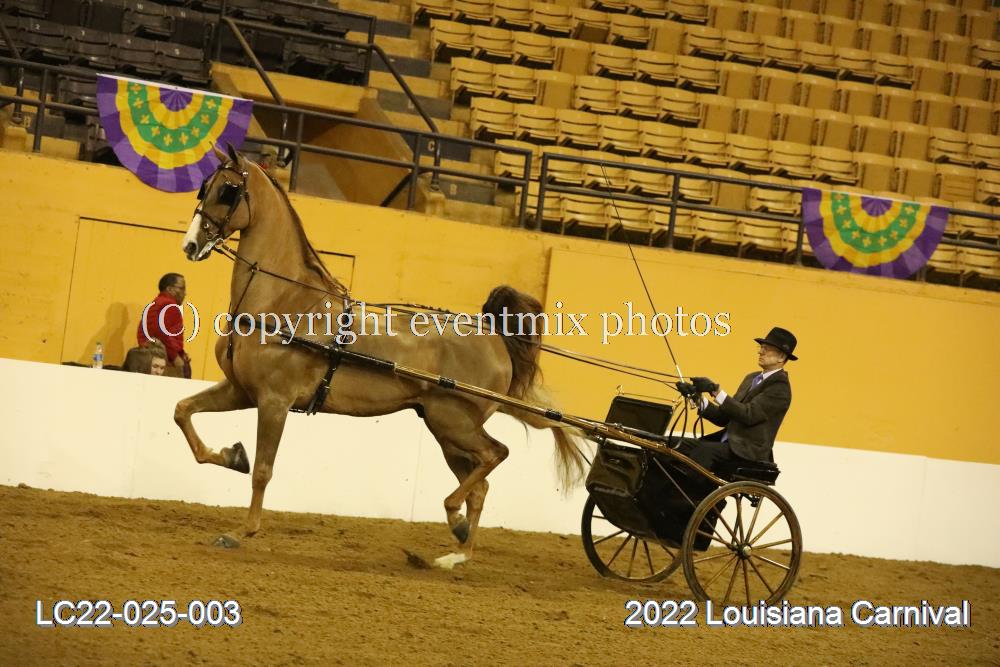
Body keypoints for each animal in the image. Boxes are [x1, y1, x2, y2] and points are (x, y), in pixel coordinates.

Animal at [175, 145, 586, 567]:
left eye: (227, 191)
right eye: (204, 187)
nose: (190, 245)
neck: (284, 302)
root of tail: (494, 335)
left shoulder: (274, 401)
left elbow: (262, 470)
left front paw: (242, 531)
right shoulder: (241, 390)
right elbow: (183, 411)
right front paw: (230, 455)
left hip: (455, 424)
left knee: (495, 455)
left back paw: (454, 523)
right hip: (446, 431)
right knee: (480, 485)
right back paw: (456, 552)